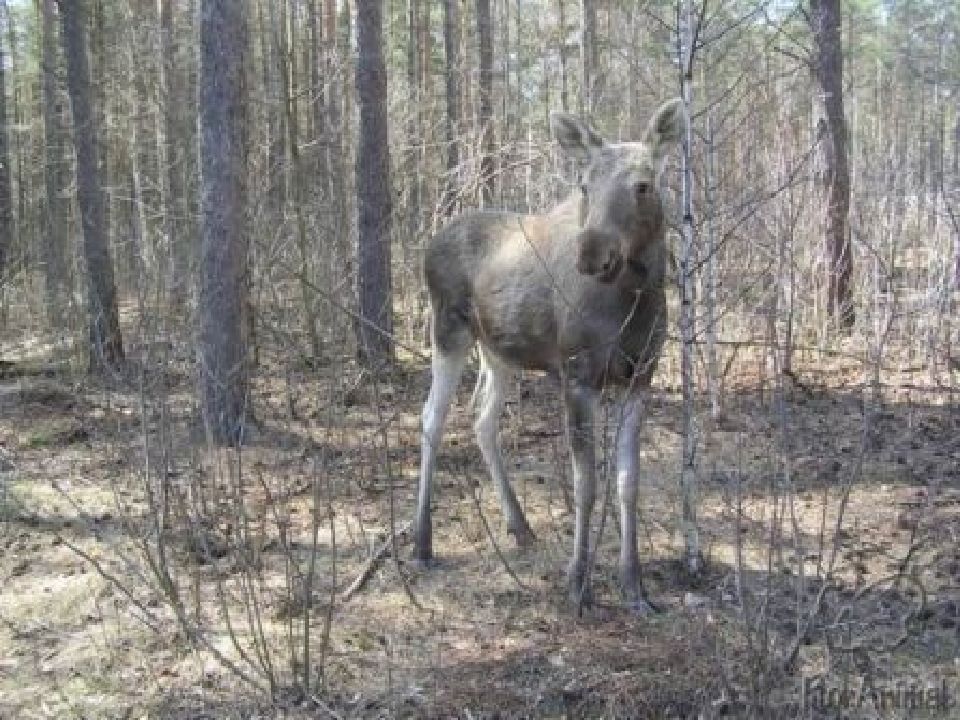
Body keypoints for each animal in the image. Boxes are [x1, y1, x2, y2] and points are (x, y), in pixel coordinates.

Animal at [416, 97, 692, 612]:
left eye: (643, 185)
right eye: (584, 185)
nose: (593, 255)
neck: (635, 303)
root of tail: (428, 242)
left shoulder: (640, 378)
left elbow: (628, 482)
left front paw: (634, 586)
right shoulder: (577, 375)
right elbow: (586, 485)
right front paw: (578, 584)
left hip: (499, 351)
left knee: (482, 418)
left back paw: (520, 527)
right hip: (447, 328)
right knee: (431, 418)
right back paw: (421, 542)